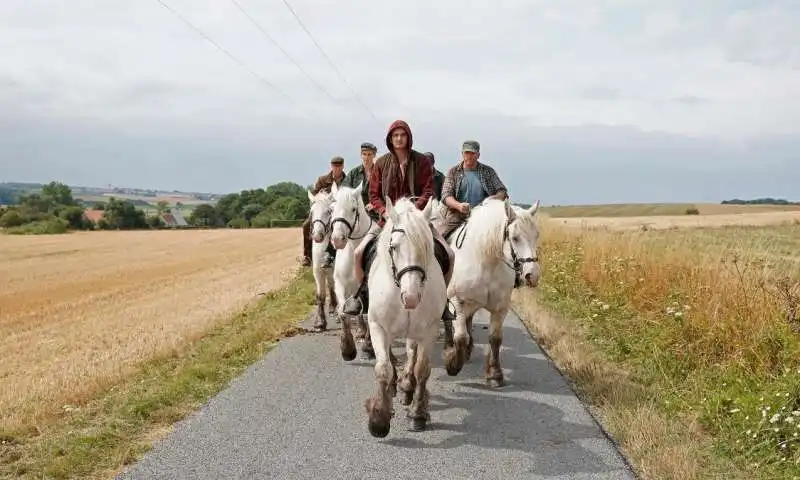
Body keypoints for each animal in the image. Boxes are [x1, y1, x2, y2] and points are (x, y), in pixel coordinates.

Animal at [328, 180, 378, 360]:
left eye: (353, 209)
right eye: (331, 209)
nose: (337, 239)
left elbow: (370, 314)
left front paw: (369, 347)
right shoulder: (341, 285)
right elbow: (343, 313)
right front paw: (347, 349)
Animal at [362, 197, 444, 436]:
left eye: (427, 247)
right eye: (394, 247)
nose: (411, 298)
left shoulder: (429, 331)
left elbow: (422, 369)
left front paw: (417, 413)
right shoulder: (378, 327)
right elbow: (383, 369)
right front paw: (379, 420)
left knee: (411, 354)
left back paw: (407, 386)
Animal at [440, 198, 540, 386]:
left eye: (536, 235)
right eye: (515, 238)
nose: (533, 275)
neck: (486, 262)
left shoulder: (500, 308)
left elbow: (495, 339)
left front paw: (494, 374)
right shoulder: (457, 302)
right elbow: (461, 337)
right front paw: (452, 364)